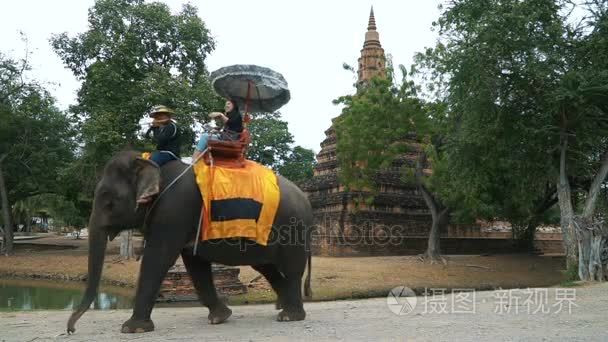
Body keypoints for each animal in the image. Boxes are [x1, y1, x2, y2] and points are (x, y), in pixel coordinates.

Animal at [66, 152, 314, 334]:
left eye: (109, 201)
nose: (71, 330)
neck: (153, 164)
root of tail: (306, 199)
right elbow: (195, 265)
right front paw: (219, 318)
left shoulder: (173, 212)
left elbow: (158, 258)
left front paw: (132, 329)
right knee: (267, 267)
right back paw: (285, 308)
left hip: (293, 228)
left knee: (291, 268)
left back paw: (290, 316)